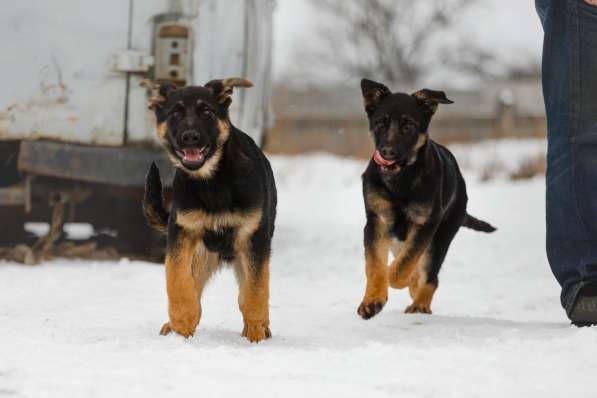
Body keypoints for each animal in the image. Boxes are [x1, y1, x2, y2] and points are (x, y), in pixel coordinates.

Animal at [141, 77, 276, 342]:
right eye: (175, 112)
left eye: (207, 111)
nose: (190, 137)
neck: (212, 181)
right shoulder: (182, 232)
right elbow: (178, 281)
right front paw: (182, 322)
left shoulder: (253, 237)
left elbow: (255, 290)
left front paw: (256, 331)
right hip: (201, 257)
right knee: (193, 285)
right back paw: (173, 326)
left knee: (246, 290)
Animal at [358, 78, 494, 320]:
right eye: (380, 124)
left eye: (408, 126)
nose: (387, 152)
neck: (401, 179)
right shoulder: (377, 221)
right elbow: (375, 265)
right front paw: (372, 300)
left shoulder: (426, 224)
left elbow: (404, 264)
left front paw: (394, 278)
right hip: (399, 240)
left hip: (440, 239)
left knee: (430, 276)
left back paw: (420, 303)